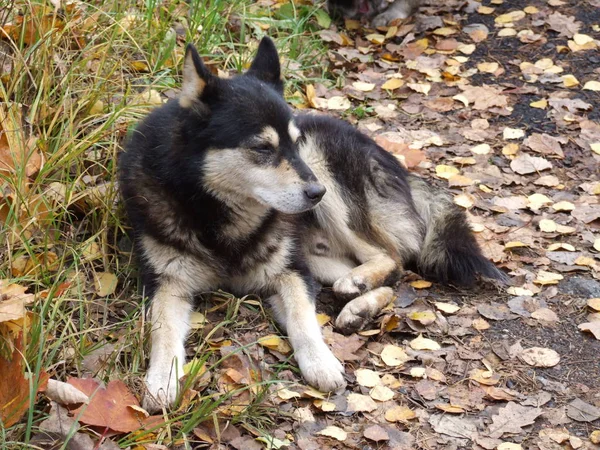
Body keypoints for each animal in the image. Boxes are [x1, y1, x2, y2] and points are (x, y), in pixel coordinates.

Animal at [119, 37, 508, 412]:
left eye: (294, 143)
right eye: (263, 148)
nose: (316, 193)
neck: (219, 214)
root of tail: (398, 165)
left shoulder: (291, 272)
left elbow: (303, 320)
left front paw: (320, 363)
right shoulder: (168, 284)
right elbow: (163, 333)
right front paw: (161, 381)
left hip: (325, 172)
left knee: (391, 258)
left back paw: (359, 288)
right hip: (317, 244)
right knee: (388, 276)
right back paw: (359, 305)